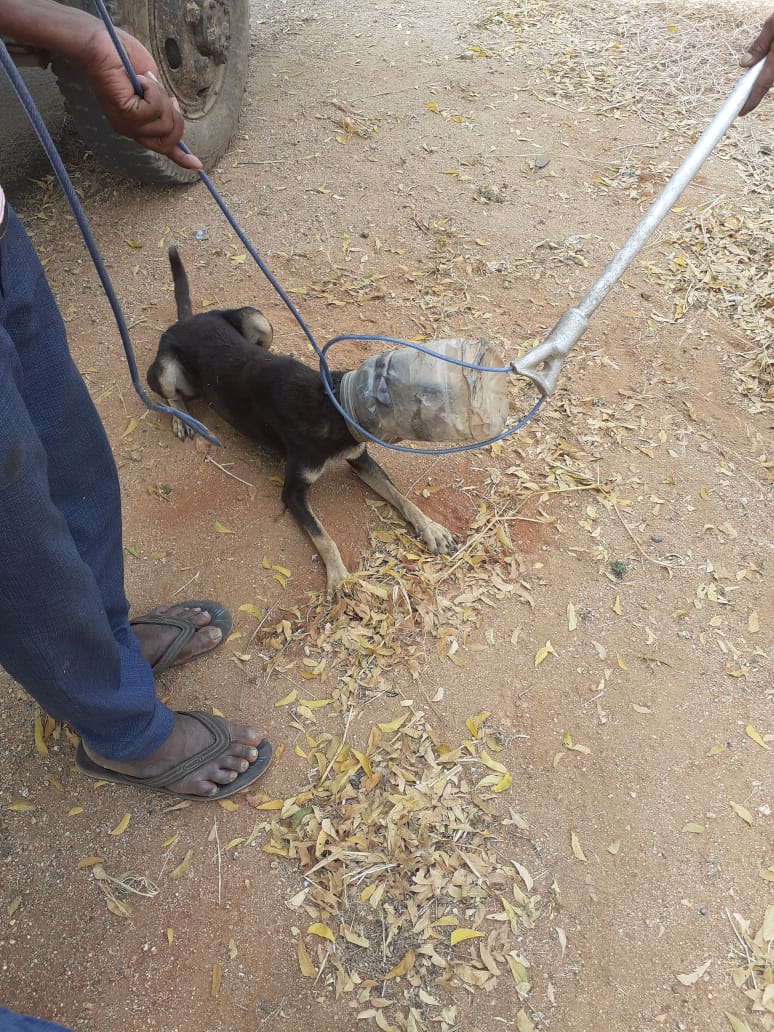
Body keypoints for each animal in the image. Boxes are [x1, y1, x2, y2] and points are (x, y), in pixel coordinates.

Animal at [148, 244, 458, 594]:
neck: (334, 406)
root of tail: (187, 320)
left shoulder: (360, 459)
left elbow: (401, 497)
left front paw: (430, 527)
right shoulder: (293, 492)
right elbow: (324, 537)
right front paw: (338, 576)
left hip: (258, 320)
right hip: (165, 369)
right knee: (171, 395)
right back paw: (182, 418)